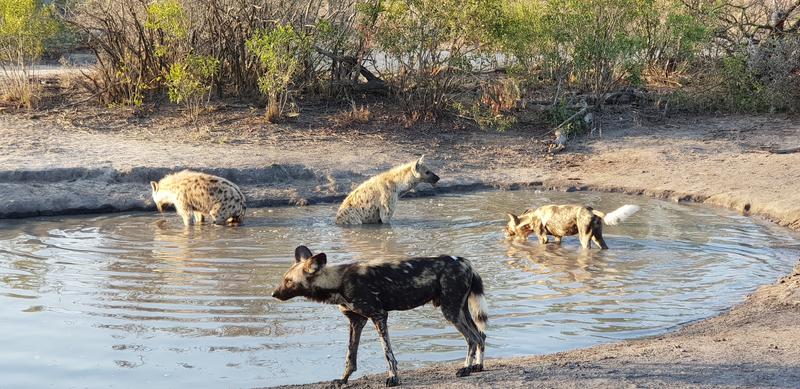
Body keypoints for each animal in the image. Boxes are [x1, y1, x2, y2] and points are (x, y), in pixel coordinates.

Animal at [272, 244, 488, 384]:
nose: (274, 294)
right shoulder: (356, 321)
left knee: (471, 337)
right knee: (480, 335)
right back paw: (477, 366)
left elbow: (387, 353)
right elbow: (350, 356)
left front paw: (393, 377)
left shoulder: (379, 316)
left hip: (450, 312)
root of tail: (465, 262)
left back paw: (466, 369)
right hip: (460, 310)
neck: (338, 282)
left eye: (289, 281)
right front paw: (343, 379)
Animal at [506, 203, 644, 249]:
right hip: (598, 239)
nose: (503, 232)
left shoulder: (543, 238)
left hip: (584, 238)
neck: (531, 217)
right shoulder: (558, 237)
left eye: (507, 227)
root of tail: (591, 210)